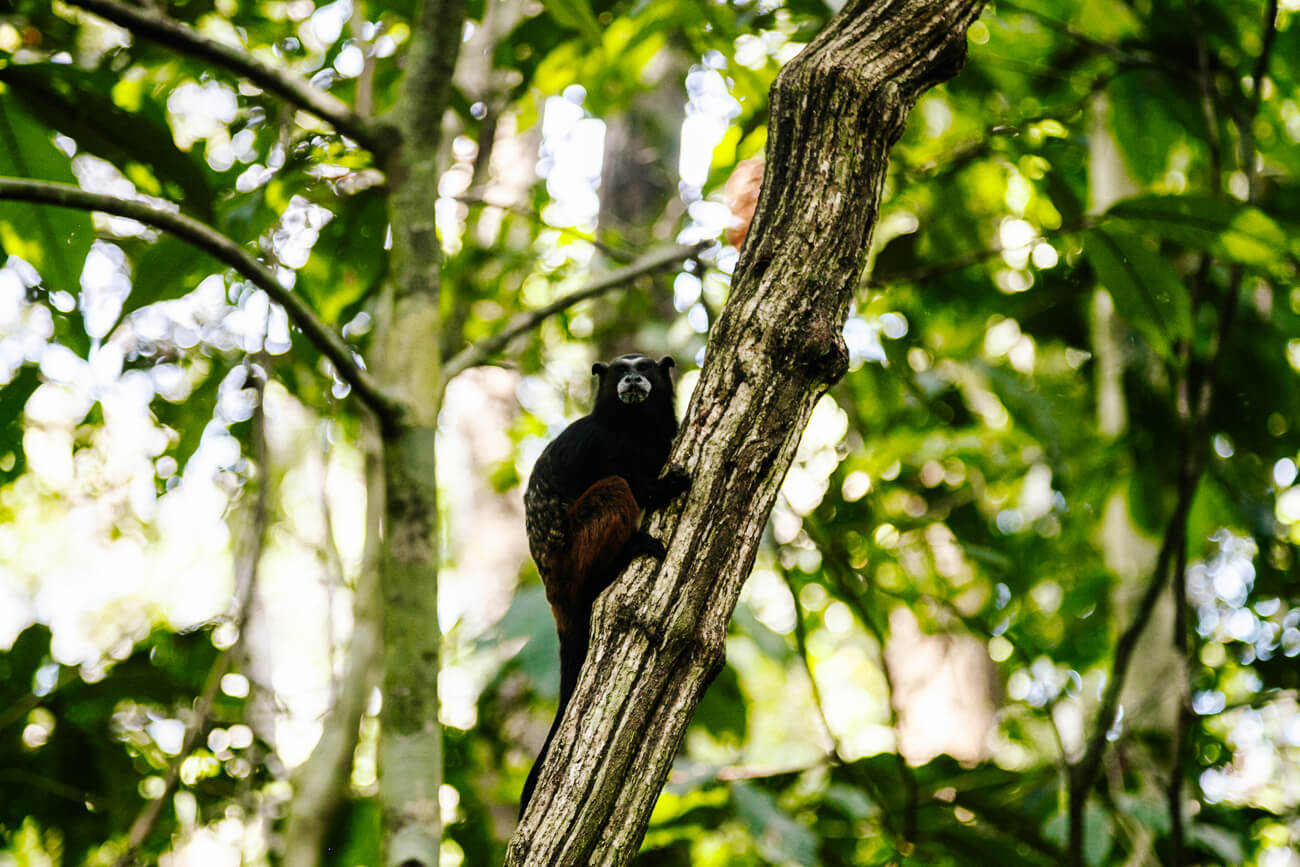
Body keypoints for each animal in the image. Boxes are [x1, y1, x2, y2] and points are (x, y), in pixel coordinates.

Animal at [522, 353, 696, 816]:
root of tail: (553, 589)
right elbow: (636, 484)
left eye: (645, 368)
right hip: (571, 557)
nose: (633, 378)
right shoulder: (600, 443)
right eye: (620, 370)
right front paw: (665, 486)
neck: (634, 427)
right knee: (614, 488)